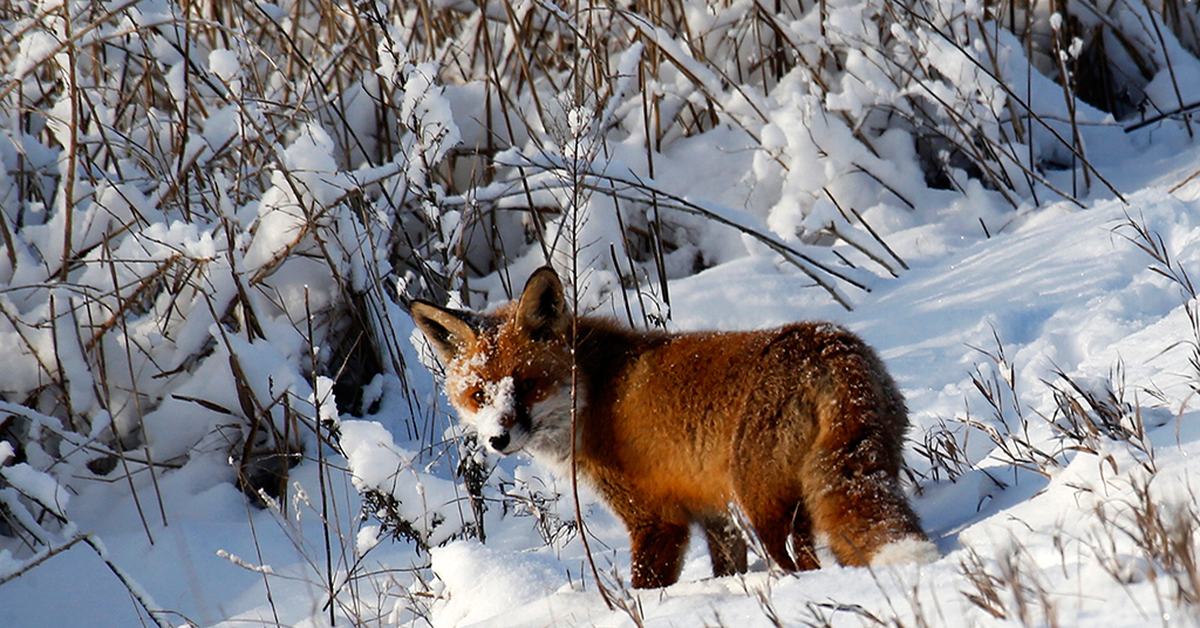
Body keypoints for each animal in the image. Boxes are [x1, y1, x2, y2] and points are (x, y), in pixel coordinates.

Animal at [412, 266, 936, 590]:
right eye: (479, 395)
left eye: (527, 385)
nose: (497, 439)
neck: (593, 392)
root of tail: (829, 348)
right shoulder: (716, 517)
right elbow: (726, 570)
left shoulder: (656, 520)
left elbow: (646, 585)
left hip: (764, 508)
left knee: (798, 564)